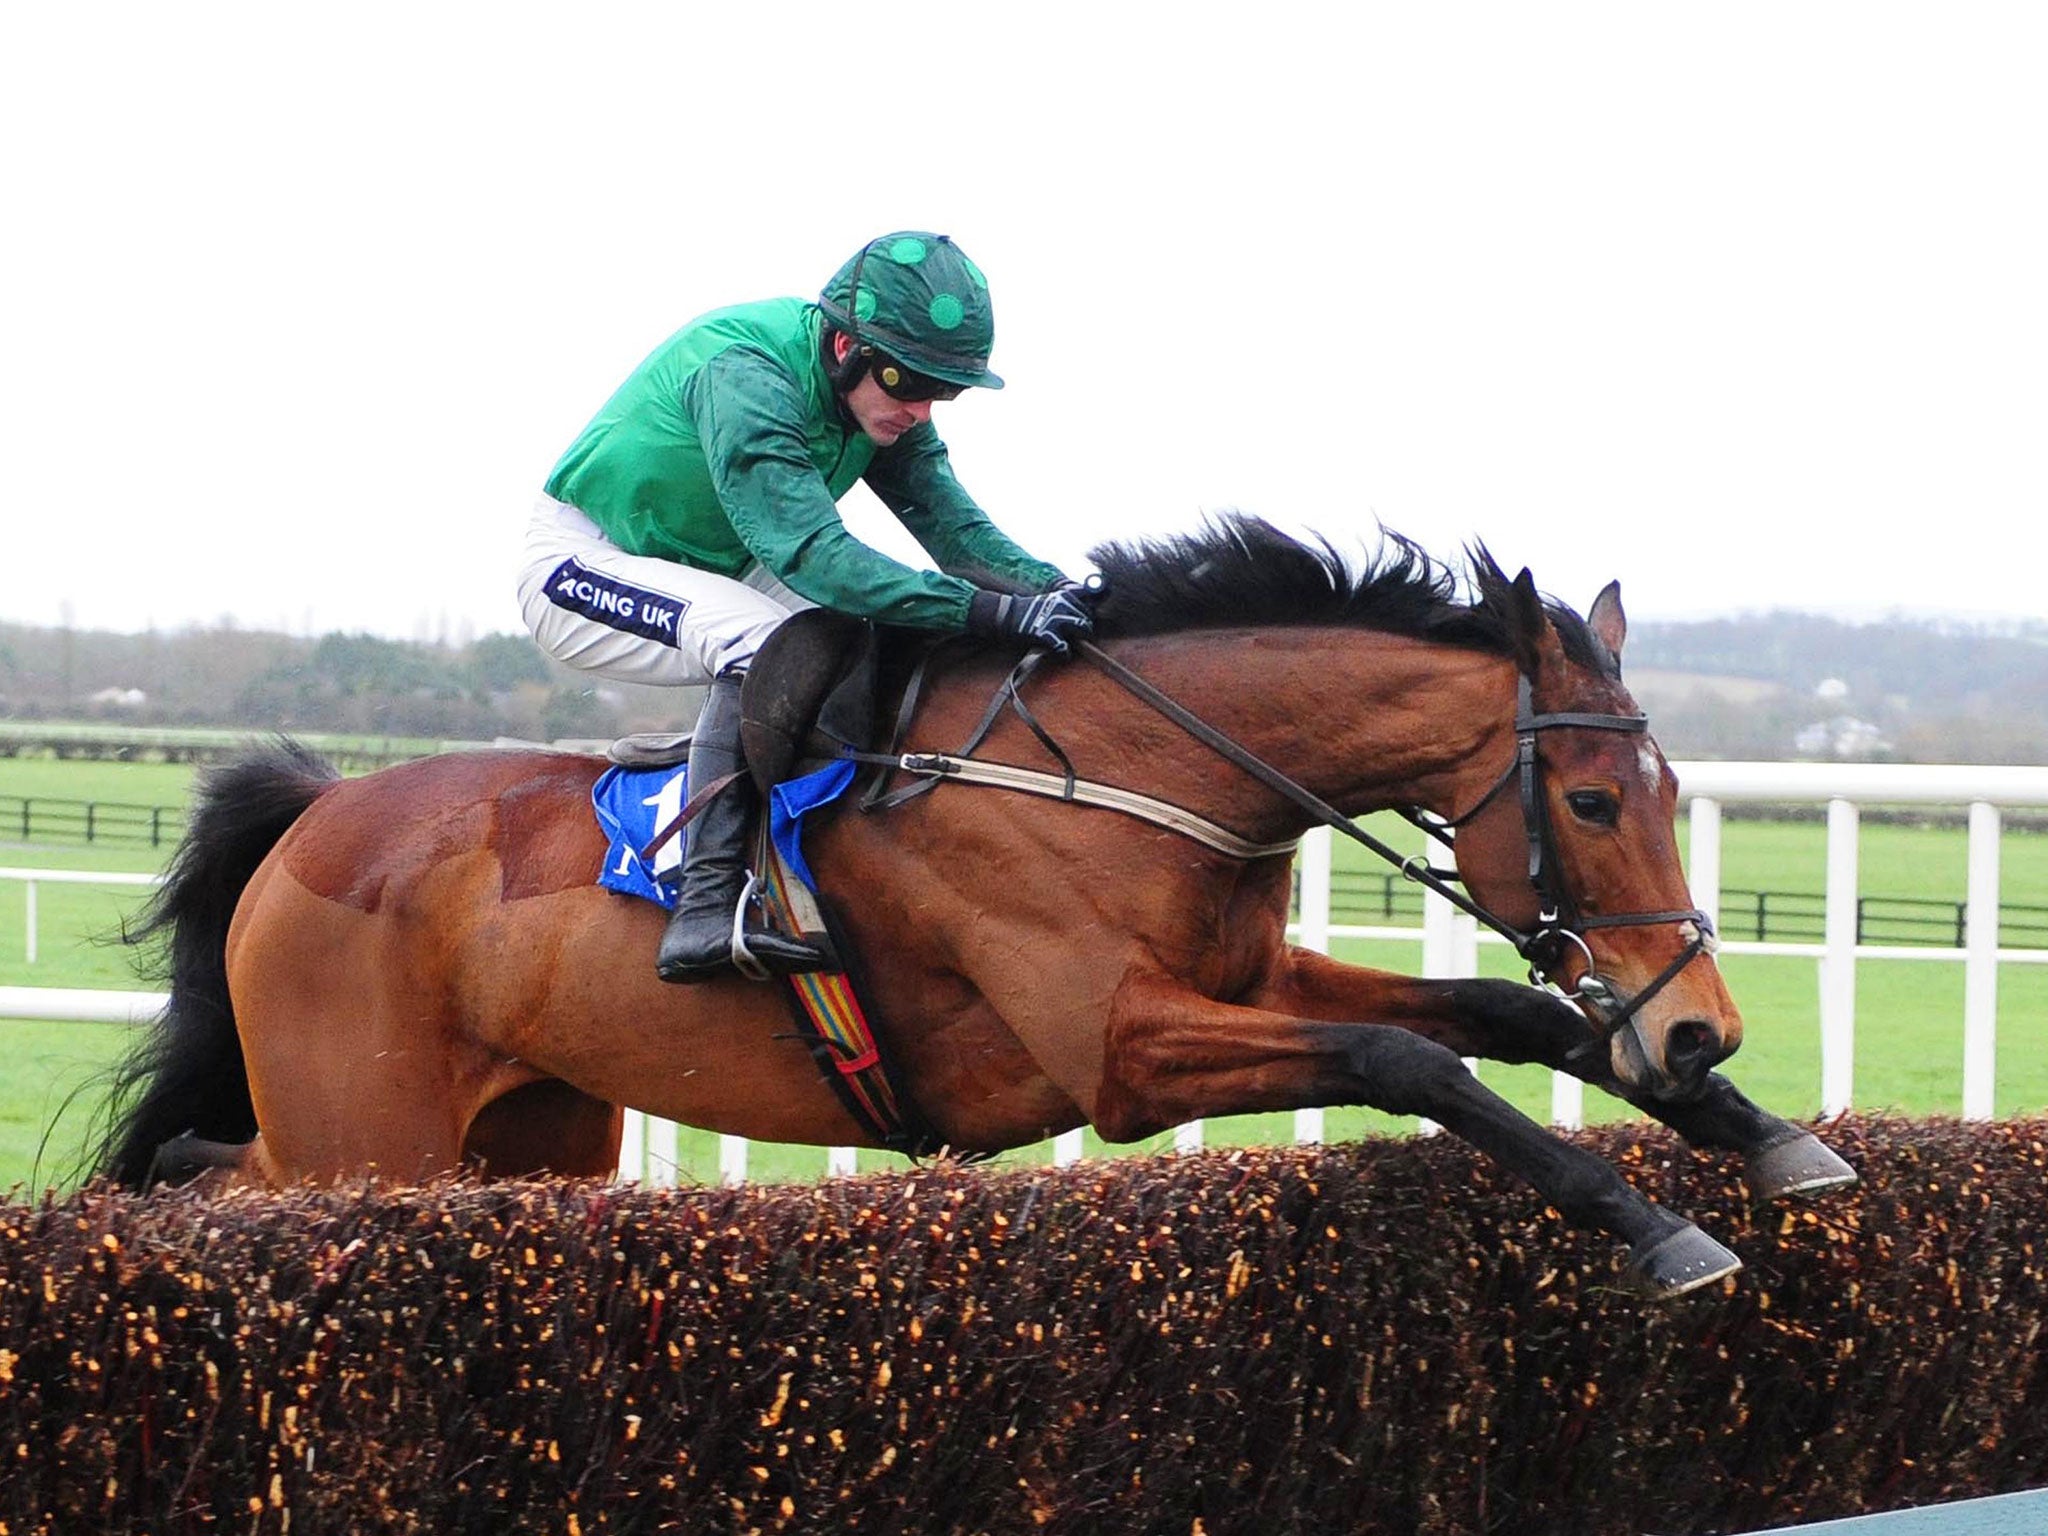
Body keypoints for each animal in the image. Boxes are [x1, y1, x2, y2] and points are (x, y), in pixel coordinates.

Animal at [92, 520, 1859, 1302]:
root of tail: (322, 810)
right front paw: (1662, 1224)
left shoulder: (1243, 978)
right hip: (366, 1132)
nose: (1699, 1022)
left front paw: (1763, 1135)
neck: (1139, 771)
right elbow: (1413, 1063)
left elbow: (1493, 1012)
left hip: (527, 1143)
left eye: (1676, 792)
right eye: (1592, 802)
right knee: (209, 1180)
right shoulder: (1119, 1053)